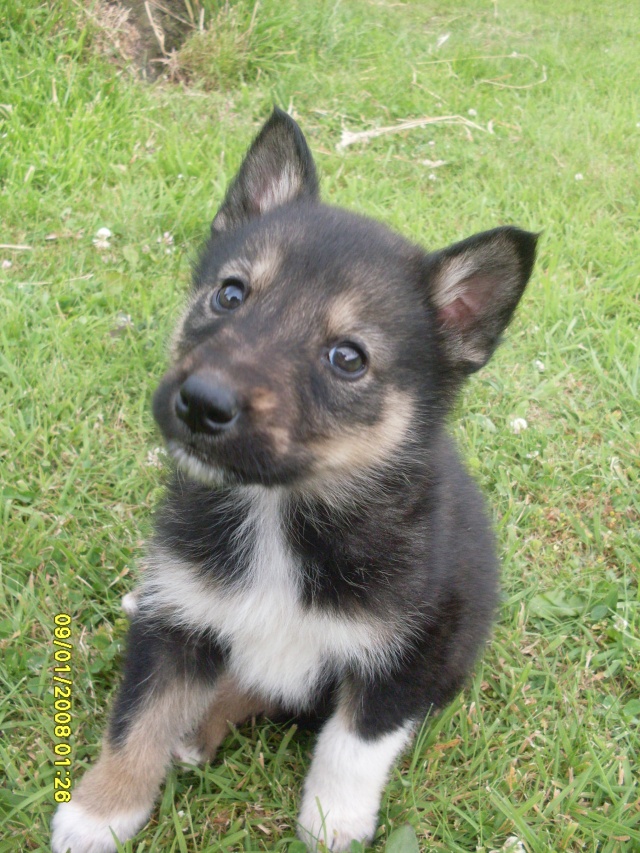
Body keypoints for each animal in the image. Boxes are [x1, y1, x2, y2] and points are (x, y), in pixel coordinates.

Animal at [52, 110, 536, 848]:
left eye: (348, 357)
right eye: (230, 294)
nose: (202, 403)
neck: (280, 514)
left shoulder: (409, 649)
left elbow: (353, 740)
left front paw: (333, 821)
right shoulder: (178, 618)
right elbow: (137, 717)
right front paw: (101, 811)